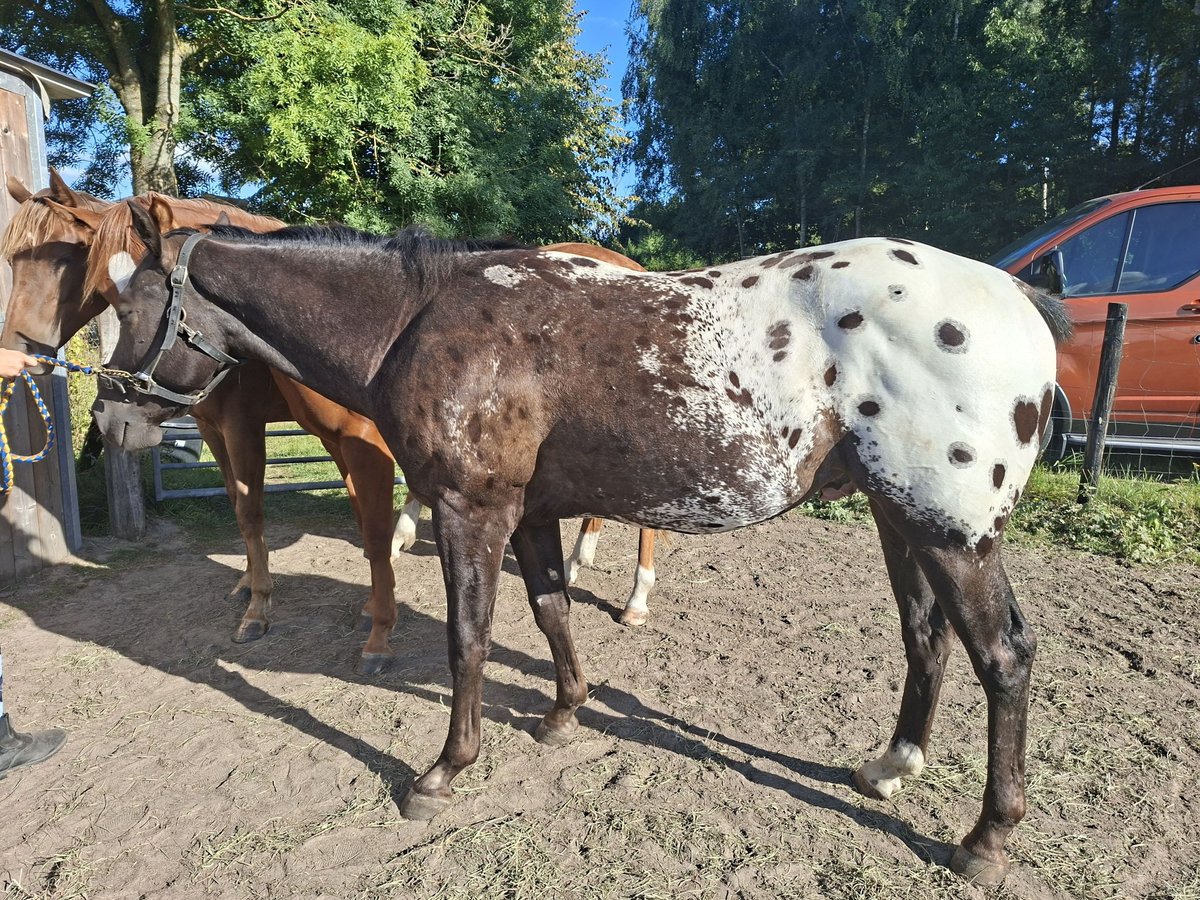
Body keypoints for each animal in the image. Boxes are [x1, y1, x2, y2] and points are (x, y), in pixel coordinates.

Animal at [93, 201, 1071, 885]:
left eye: (127, 307)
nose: (107, 422)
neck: (422, 320)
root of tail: (1016, 297)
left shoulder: (469, 510)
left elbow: (470, 639)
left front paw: (442, 772)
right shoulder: (526, 513)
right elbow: (550, 607)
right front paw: (564, 713)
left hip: (954, 534)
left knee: (1004, 657)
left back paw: (986, 838)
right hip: (901, 521)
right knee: (925, 637)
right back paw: (890, 766)